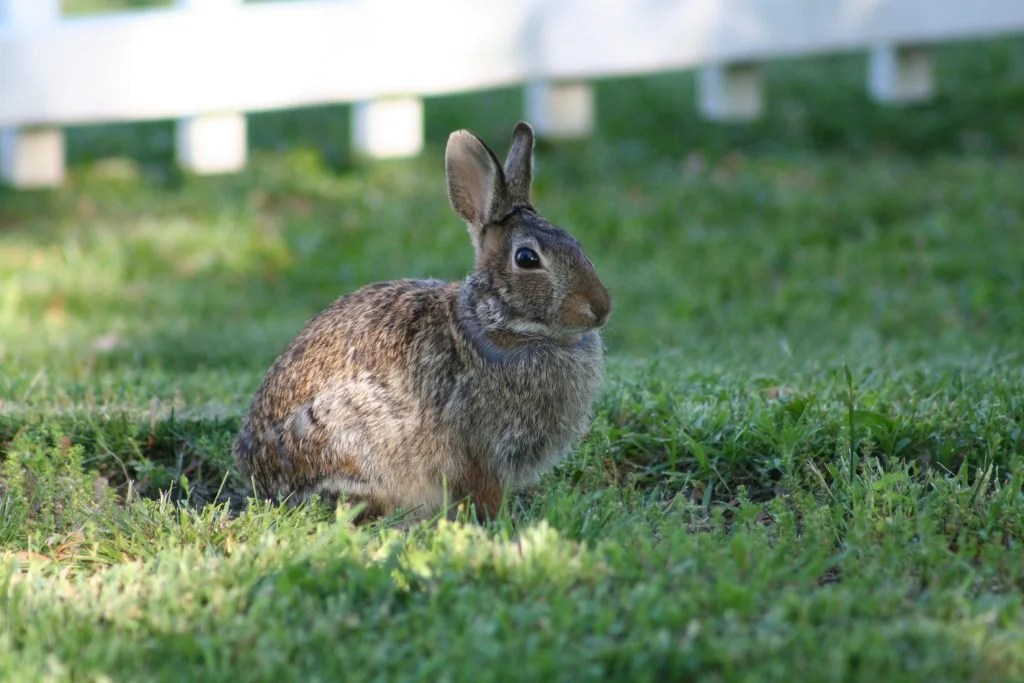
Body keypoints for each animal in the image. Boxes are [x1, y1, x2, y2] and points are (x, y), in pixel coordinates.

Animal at [233, 122, 611, 521]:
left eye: (574, 242)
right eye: (527, 258)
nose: (600, 308)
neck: (497, 323)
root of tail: (258, 479)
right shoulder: (478, 450)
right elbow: (484, 490)